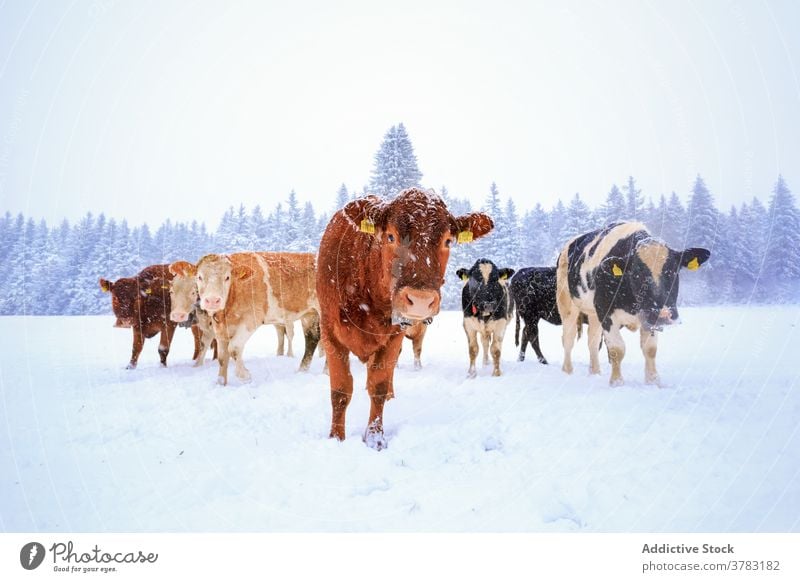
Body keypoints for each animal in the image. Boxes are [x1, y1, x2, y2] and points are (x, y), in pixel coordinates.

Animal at [195, 253, 322, 386]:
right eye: (199, 277)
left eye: (227, 277)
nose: (212, 300)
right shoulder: (220, 329)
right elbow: (222, 357)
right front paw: (221, 383)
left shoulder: (251, 320)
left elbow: (233, 348)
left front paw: (245, 376)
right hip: (309, 314)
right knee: (312, 339)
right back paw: (302, 370)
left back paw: (325, 372)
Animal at [318, 189, 494, 450]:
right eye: (390, 236)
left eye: (448, 241)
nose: (420, 299)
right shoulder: (330, 332)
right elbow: (340, 390)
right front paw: (336, 438)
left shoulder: (394, 336)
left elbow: (379, 385)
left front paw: (375, 438)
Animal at [556, 221, 712, 386]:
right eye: (637, 274)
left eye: (674, 271)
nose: (663, 314)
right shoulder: (607, 312)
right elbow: (617, 349)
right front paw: (617, 382)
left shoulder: (648, 318)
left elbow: (650, 349)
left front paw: (653, 380)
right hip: (566, 303)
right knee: (568, 338)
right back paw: (567, 371)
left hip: (593, 312)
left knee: (593, 339)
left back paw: (595, 372)